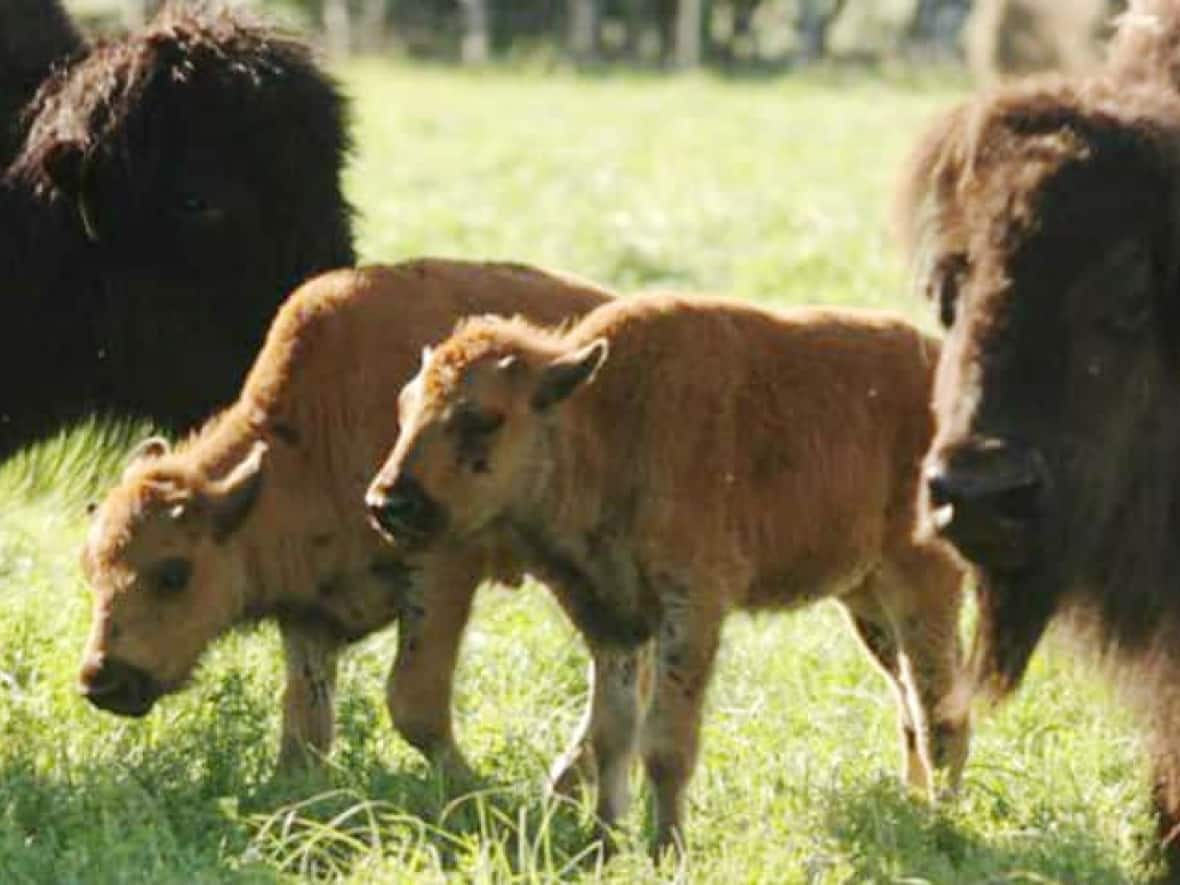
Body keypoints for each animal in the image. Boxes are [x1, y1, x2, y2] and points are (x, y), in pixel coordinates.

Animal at [78, 261, 613, 783]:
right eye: (90, 571)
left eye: (174, 573)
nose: (101, 680)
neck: (314, 441)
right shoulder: (308, 614)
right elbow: (305, 724)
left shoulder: (440, 567)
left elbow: (412, 702)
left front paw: (474, 788)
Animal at [368, 295, 967, 854]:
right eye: (403, 406)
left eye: (484, 417)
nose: (387, 503)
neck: (604, 420)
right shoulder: (609, 618)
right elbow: (612, 733)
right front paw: (603, 842)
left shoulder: (692, 605)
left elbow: (665, 745)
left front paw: (665, 849)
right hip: (868, 602)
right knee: (913, 704)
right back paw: (916, 808)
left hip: (920, 586)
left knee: (941, 713)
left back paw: (943, 826)